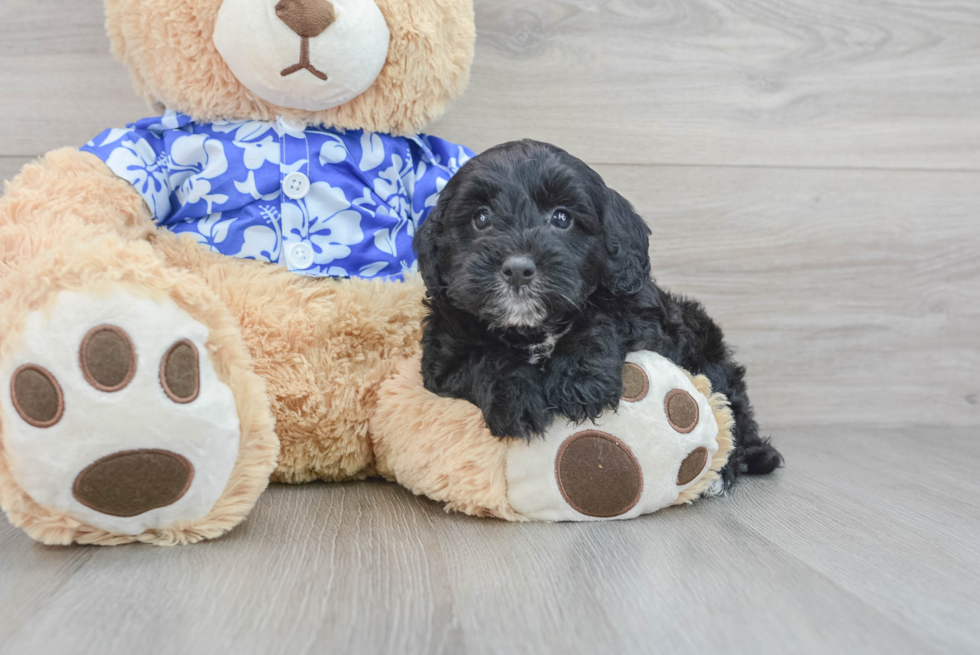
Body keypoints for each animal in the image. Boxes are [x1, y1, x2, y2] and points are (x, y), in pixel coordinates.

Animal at [414, 140, 780, 486]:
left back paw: (736, 465)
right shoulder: (442, 358)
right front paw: (517, 399)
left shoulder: (644, 316)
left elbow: (600, 318)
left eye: (562, 218)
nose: (518, 268)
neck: (534, 327)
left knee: (733, 414)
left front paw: (579, 382)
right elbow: (485, 358)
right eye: (481, 218)